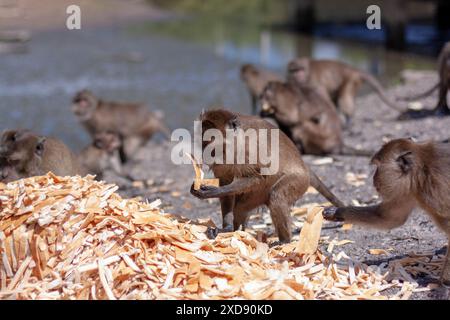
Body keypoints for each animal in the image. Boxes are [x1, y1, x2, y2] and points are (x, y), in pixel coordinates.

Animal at [190, 108, 344, 242]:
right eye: (203, 141)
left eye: (212, 140)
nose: (206, 152)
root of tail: (303, 165)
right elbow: (226, 181)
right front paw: (226, 228)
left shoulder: (248, 149)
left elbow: (257, 177)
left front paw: (212, 192)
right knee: (241, 207)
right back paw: (235, 230)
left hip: (299, 181)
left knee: (276, 195)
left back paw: (284, 241)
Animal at [324, 139, 450, 284]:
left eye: (378, 167)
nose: (373, 179)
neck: (419, 171)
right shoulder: (407, 190)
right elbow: (389, 218)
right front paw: (336, 212)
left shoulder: (434, 191)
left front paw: (441, 281)